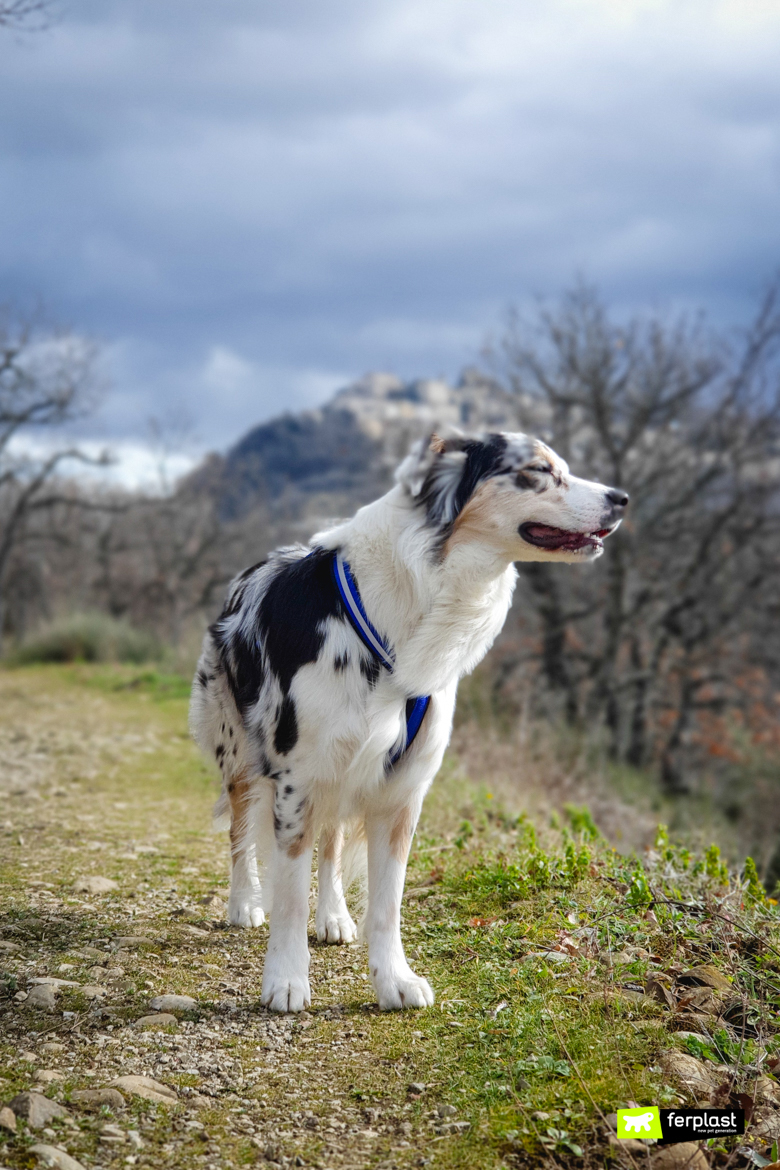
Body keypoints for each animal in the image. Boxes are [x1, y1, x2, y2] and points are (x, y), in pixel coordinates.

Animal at [189, 435, 626, 1010]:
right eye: (537, 470)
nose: (622, 498)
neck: (407, 600)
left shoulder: (400, 789)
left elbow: (387, 902)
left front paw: (393, 979)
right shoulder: (298, 777)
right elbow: (289, 894)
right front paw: (285, 980)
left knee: (331, 840)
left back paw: (333, 915)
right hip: (238, 745)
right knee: (241, 827)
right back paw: (243, 903)